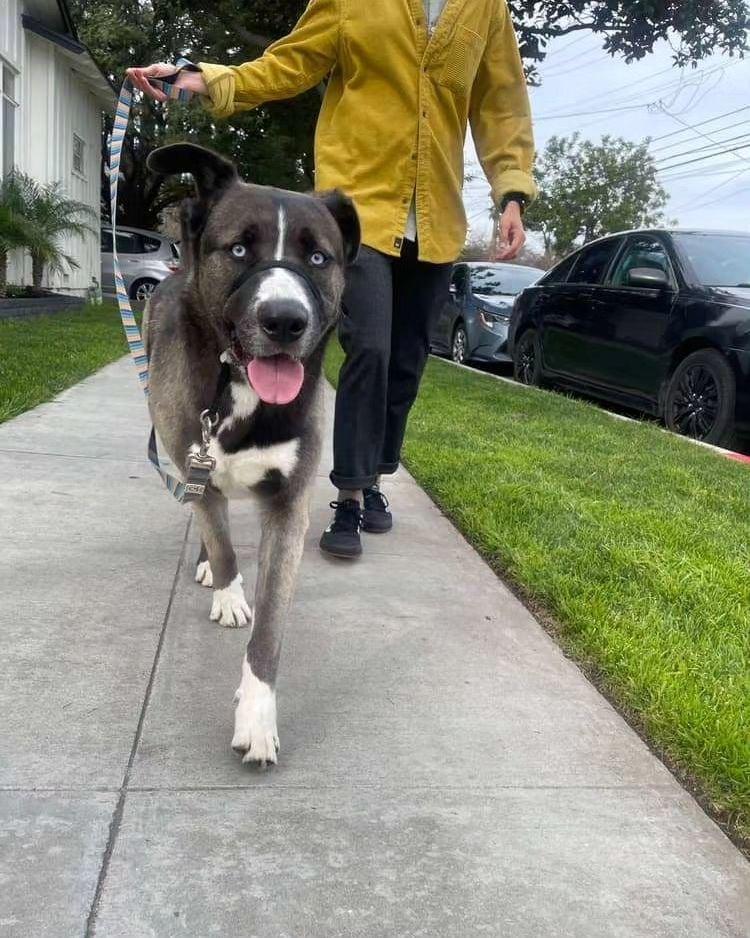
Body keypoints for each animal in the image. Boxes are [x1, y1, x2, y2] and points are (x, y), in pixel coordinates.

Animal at [145, 144, 362, 760]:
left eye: (319, 257)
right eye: (240, 248)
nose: (285, 321)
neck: (237, 387)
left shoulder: (290, 505)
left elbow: (270, 628)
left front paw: (257, 715)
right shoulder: (194, 460)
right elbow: (221, 545)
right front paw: (228, 591)